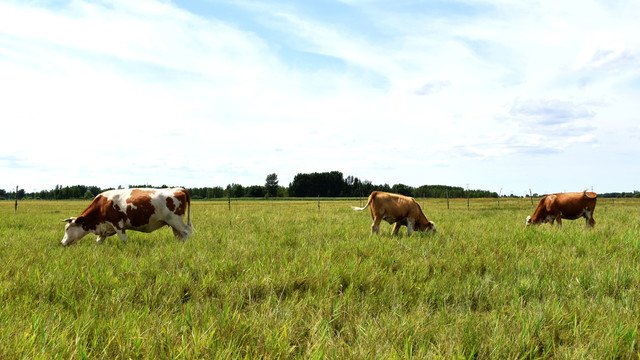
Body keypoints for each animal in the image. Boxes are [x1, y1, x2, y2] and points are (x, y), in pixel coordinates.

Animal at [61, 188, 191, 245]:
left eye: (67, 229)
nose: (62, 243)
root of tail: (178, 189)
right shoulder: (104, 228)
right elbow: (98, 242)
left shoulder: (118, 224)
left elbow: (124, 240)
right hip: (173, 224)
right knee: (179, 236)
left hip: (176, 221)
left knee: (186, 231)